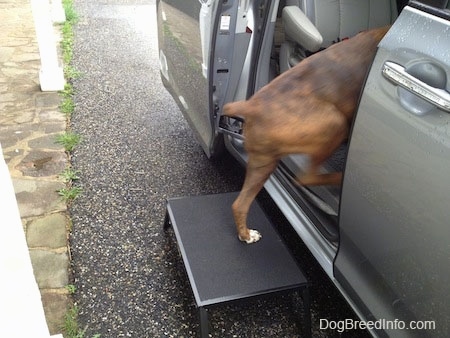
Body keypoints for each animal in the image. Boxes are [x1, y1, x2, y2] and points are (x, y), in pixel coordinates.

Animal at [225, 25, 390, 243]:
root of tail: (252, 106)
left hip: (263, 162)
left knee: (240, 204)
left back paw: (246, 235)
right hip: (335, 124)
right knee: (306, 177)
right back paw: (339, 180)